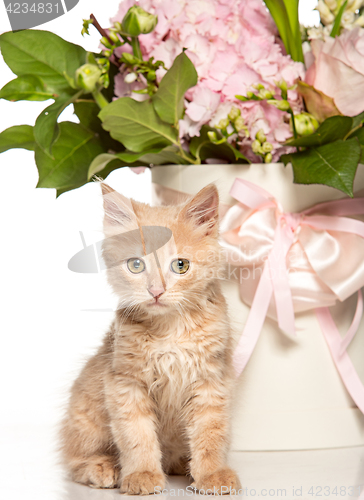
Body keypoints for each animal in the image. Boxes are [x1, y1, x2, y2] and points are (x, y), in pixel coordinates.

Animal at [60, 182, 240, 494]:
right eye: (135, 265)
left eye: (180, 265)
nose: (156, 291)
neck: (169, 330)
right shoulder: (124, 383)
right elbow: (137, 435)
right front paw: (142, 474)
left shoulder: (211, 380)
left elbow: (210, 433)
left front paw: (212, 474)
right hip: (87, 413)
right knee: (75, 458)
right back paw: (104, 468)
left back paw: (183, 466)